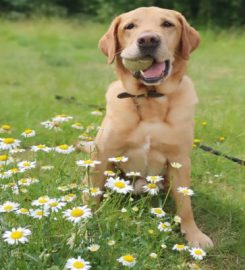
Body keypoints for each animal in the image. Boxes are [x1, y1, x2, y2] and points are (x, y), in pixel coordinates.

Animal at [82, 6, 212, 247]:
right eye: (129, 26)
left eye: (167, 24)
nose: (148, 40)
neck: (150, 99)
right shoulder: (103, 154)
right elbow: (91, 196)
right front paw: (82, 228)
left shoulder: (180, 160)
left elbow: (185, 206)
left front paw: (194, 234)